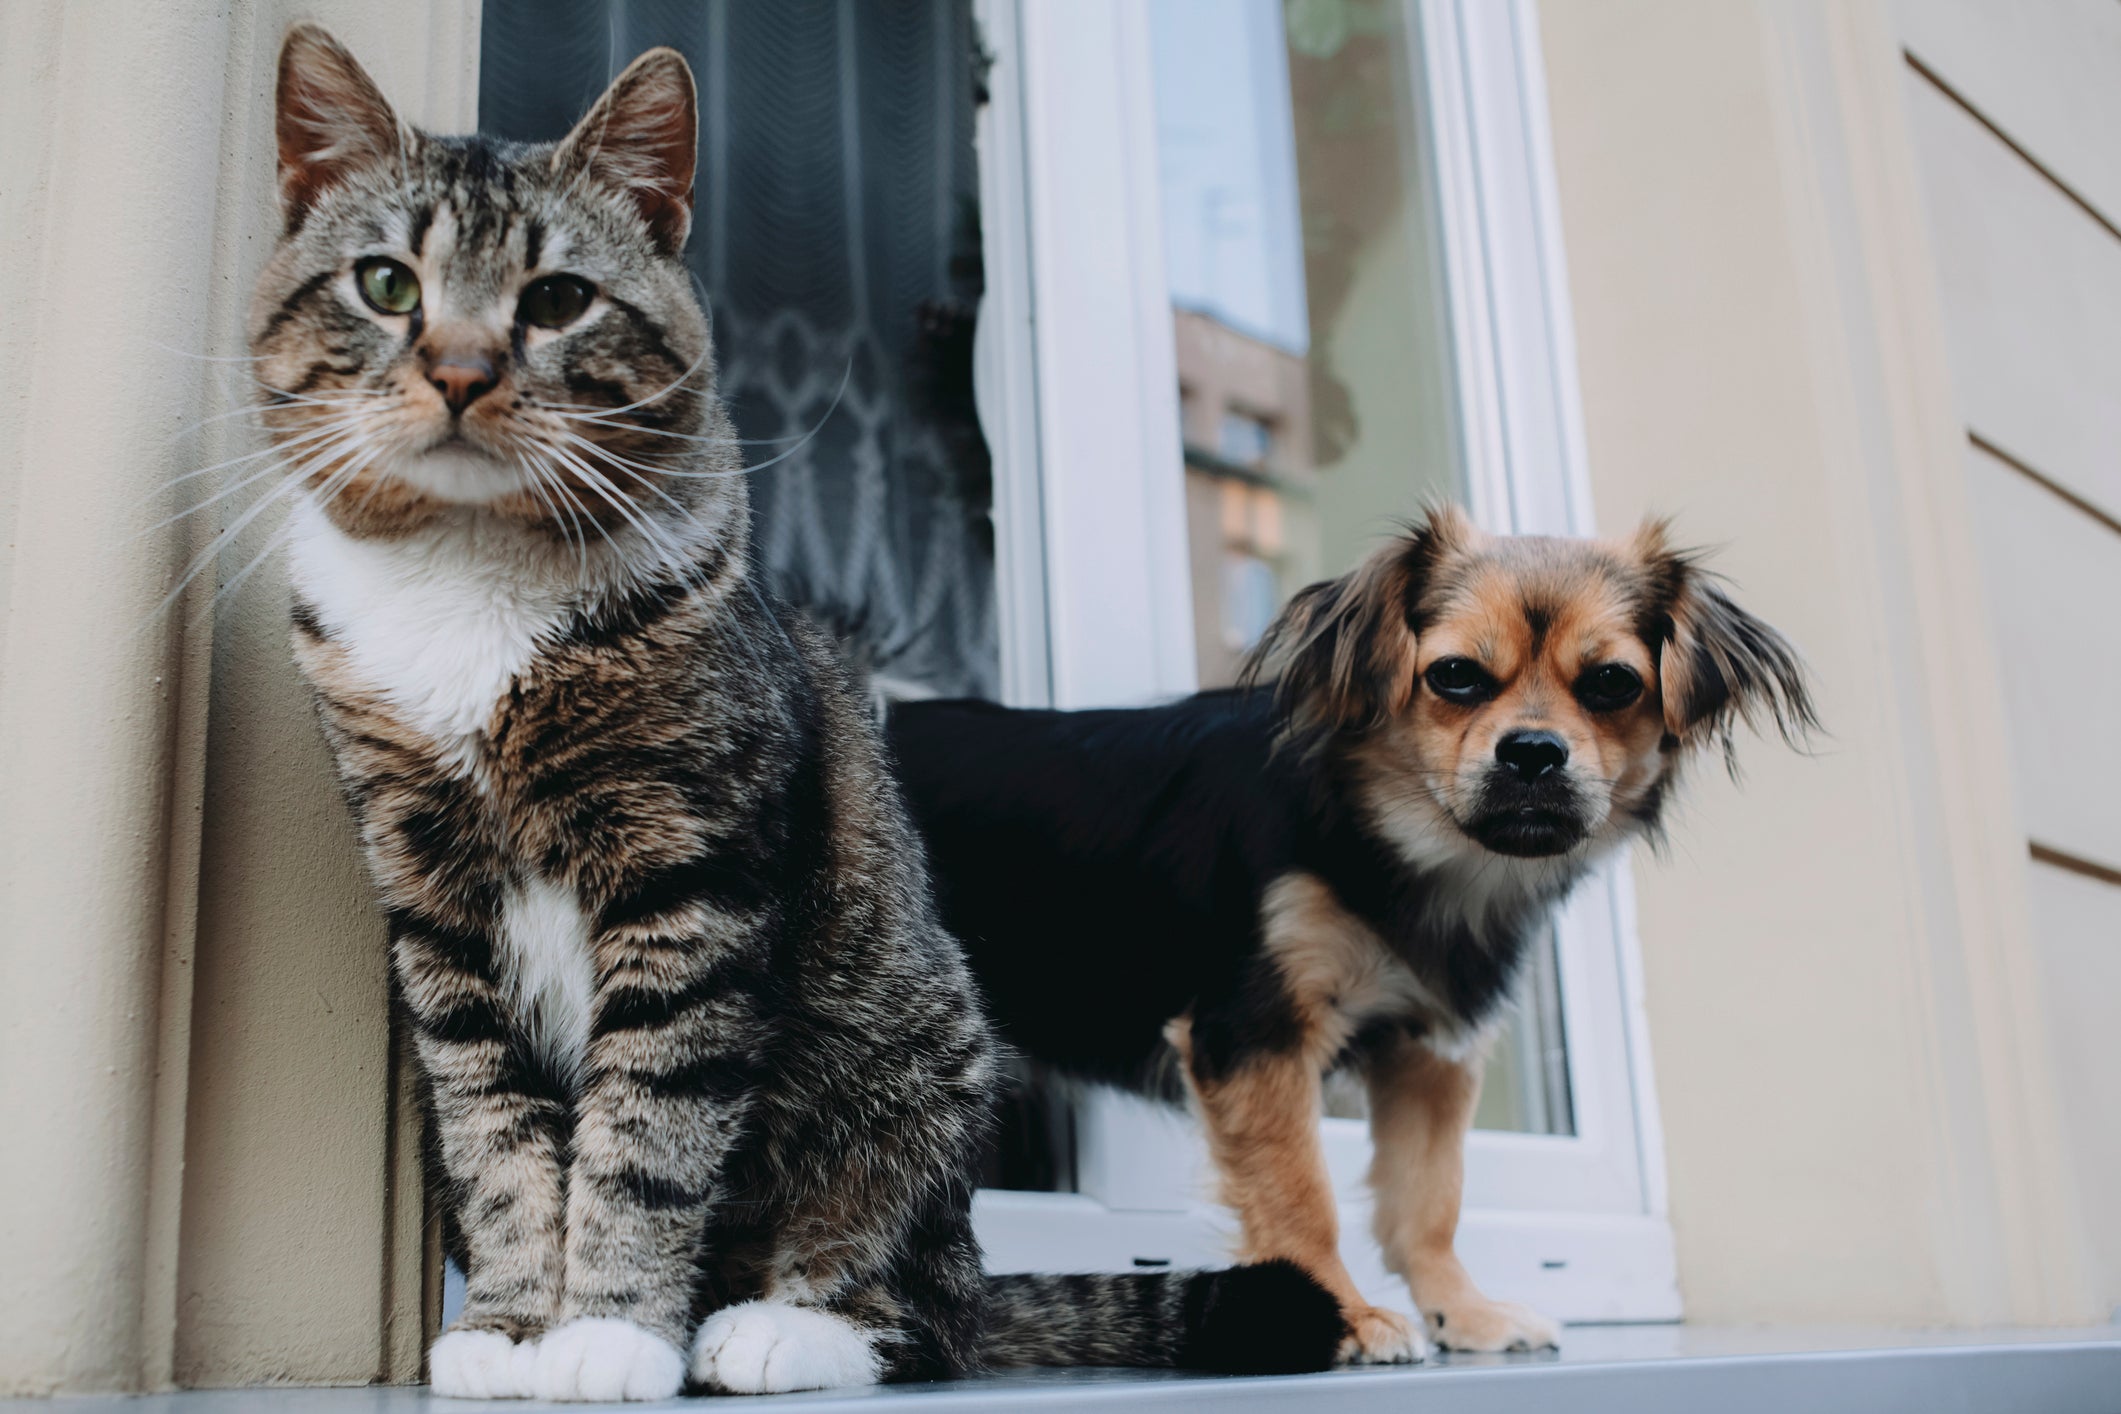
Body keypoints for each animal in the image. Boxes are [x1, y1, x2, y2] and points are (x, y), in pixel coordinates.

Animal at [252, 24, 1340, 1407]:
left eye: (558, 299)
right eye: (388, 284)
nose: (457, 370)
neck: (468, 577)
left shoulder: (690, 876)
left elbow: (648, 1127)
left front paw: (608, 1336)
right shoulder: (435, 904)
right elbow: (496, 1131)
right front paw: (509, 1331)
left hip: (917, 1077)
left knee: (921, 1307)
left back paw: (772, 1328)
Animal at [886, 506, 1815, 1356]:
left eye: (1613, 684)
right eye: (1454, 677)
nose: (1532, 752)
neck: (1415, 856)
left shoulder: (1430, 1054)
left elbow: (1429, 1201)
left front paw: (1460, 1312)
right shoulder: (1254, 1033)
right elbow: (1299, 1190)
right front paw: (1342, 1315)